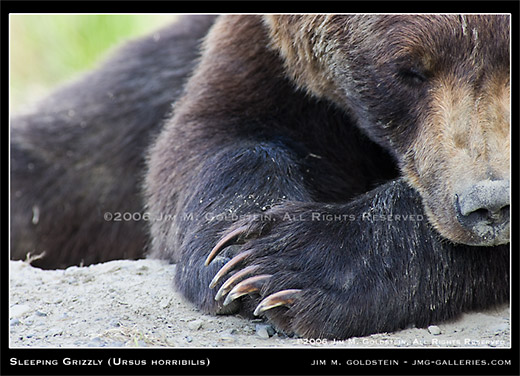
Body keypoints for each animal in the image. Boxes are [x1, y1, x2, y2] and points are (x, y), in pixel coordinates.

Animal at [10, 14, 510, 340]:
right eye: (409, 70)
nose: (488, 204)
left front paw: (288, 265)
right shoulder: (271, 63)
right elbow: (213, 138)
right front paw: (236, 256)